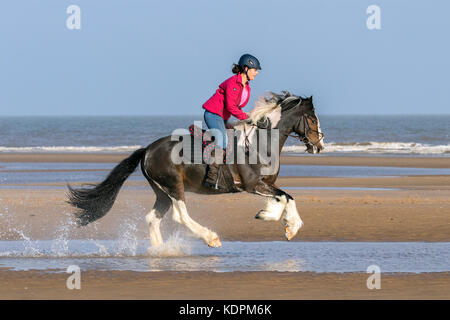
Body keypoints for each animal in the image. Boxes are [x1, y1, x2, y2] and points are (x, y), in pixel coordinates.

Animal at [67, 90, 324, 248]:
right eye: (312, 119)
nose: (319, 145)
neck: (259, 141)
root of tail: (148, 149)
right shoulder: (252, 185)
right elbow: (286, 198)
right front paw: (287, 226)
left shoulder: (266, 184)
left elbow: (284, 198)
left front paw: (272, 217)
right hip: (173, 186)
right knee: (180, 215)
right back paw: (211, 238)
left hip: (162, 191)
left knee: (152, 217)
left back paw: (161, 250)